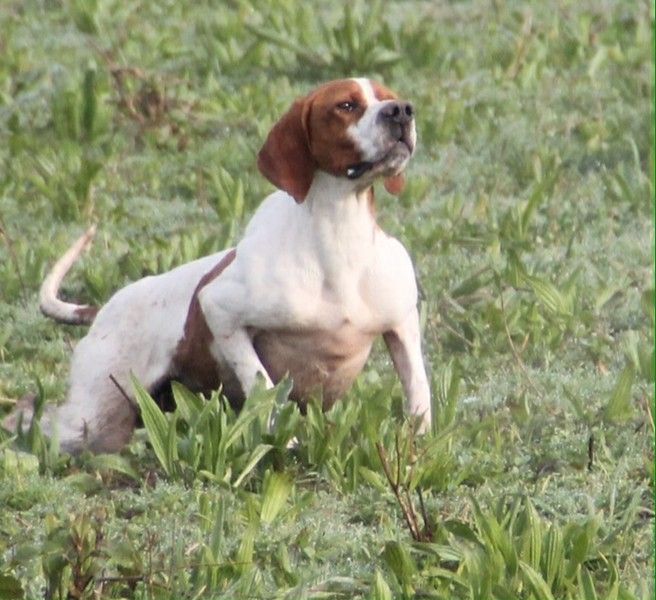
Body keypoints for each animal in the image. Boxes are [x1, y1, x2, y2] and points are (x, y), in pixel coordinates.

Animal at [5, 78, 432, 453]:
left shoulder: (402, 325)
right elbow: (263, 386)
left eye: (388, 96)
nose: (402, 111)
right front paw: (288, 444)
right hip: (93, 418)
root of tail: (103, 309)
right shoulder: (220, 310)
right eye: (345, 105)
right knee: (38, 420)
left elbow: (419, 392)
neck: (341, 238)